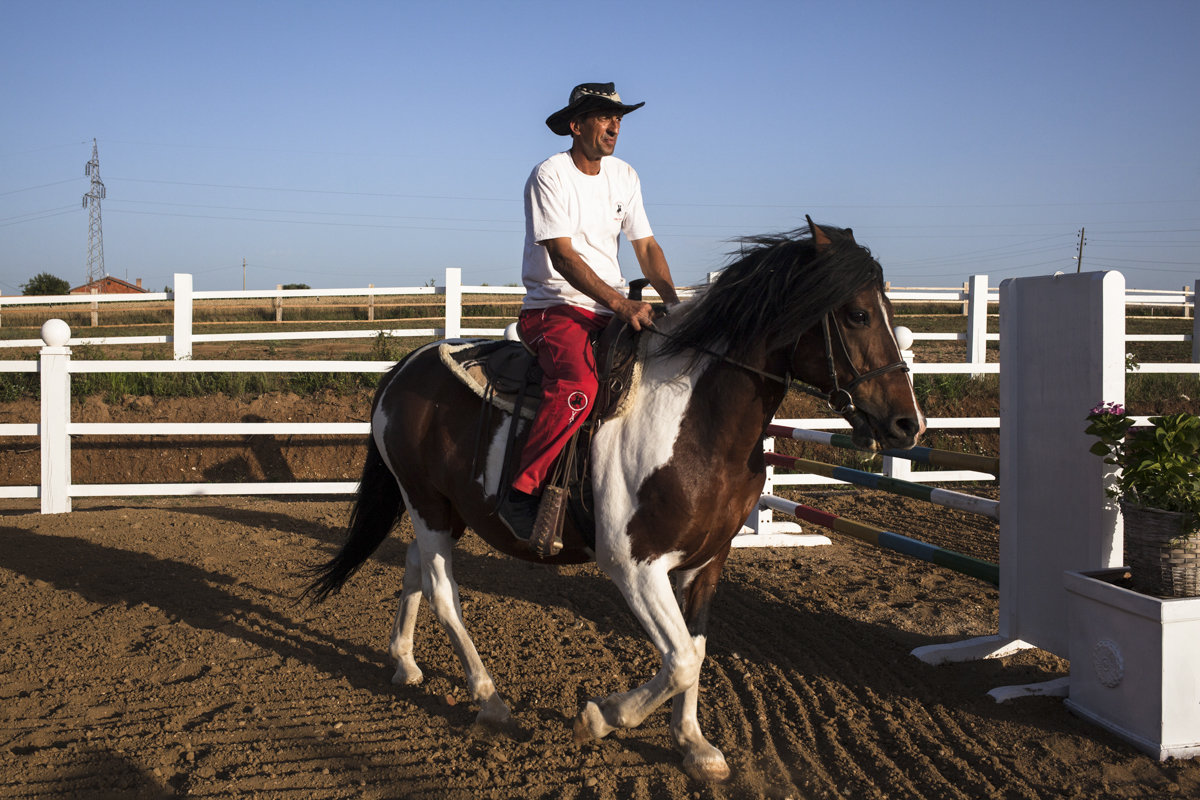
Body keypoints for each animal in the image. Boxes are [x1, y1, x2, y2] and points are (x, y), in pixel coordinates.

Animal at [304, 220, 921, 782]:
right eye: (857, 314)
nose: (907, 424)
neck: (697, 419)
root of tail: (403, 369)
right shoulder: (634, 565)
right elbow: (680, 659)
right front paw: (600, 717)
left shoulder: (706, 562)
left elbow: (696, 651)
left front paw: (694, 746)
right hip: (428, 504)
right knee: (443, 592)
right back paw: (490, 700)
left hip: (449, 510)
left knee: (413, 565)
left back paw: (404, 662)